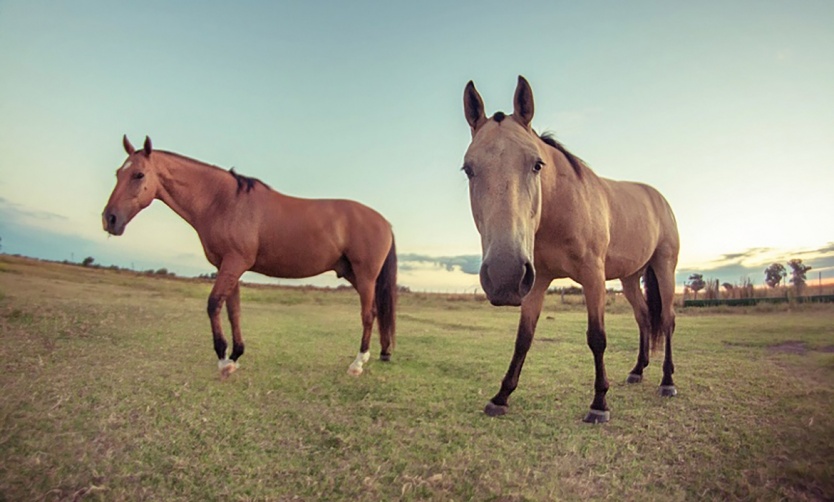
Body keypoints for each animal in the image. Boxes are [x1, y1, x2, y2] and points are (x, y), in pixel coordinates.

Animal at [102, 135, 394, 378]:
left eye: (139, 174)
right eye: (118, 173)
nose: (109, 219)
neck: (224, 202)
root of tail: (384, 222)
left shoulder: (234, 263)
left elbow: (213, 304)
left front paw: (223, 360)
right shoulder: (229, 266)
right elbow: (234, 310)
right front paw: (235, 356)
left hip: (365, 276)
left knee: (367, 314)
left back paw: (357, 364)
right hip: (352, 274)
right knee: (376, 311)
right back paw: (381, 353)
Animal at [458, 76, 680, 422]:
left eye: (537, 165)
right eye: (468, 169)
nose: (503, 275)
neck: (562, 207)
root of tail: (658, 198)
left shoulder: (593, 277)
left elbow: (597, 337)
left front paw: (599, 403)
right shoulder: (535, 282)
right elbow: (523, 339)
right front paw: (501, 396)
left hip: (664, 267)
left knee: (667, 319)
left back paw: (667, 381)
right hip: (630, 278)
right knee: (644, 317)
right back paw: (637, 371)